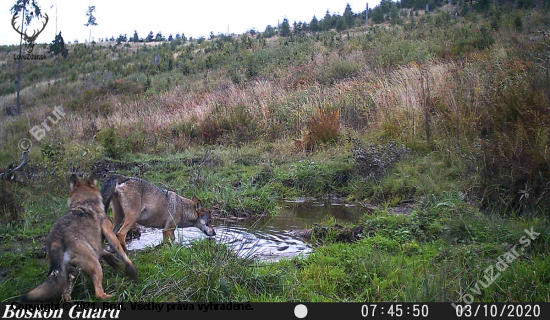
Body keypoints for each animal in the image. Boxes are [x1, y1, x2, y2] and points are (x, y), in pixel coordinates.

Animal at [21, 174, 139, 302]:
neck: (84, 201)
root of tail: (57, 239)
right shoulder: (109, 233)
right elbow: (121, 251)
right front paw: (130, 269)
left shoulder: (95, 243)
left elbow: (105, 252)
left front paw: (114, 261)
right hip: (95, 266)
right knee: (98, 293)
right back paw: (113, 295)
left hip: (69, 274)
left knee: (65, 295)